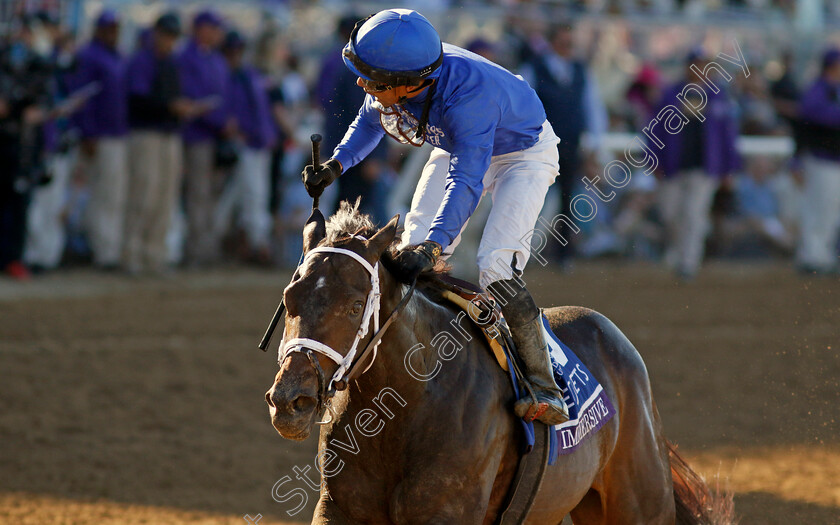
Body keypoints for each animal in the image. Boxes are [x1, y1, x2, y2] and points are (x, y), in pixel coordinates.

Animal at [266, 203, 732, 520]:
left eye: (354, 305)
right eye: (289, 299)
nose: (290, 401)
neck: (407, 408)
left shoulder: (447, 511)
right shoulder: (337, 509)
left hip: (640, 502)